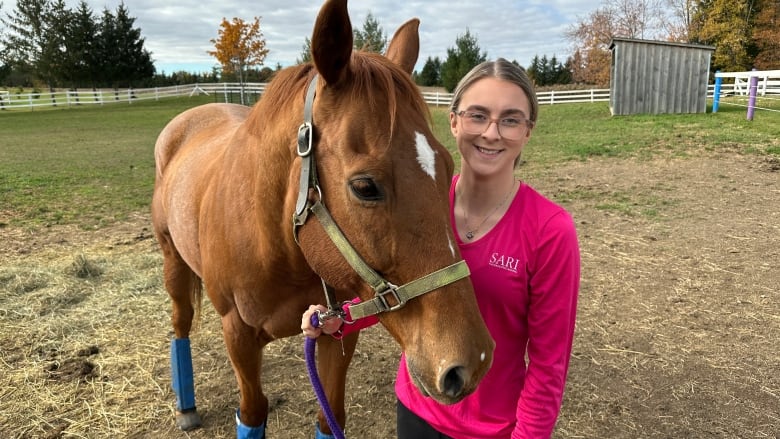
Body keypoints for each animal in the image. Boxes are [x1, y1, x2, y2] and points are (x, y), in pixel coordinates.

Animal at [151, 0, 494, 436]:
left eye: (449, 166)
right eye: (365, 186)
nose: (473, 363)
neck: (275, 241)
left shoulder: (334, 330)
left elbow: (330, 417)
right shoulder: (238, 335)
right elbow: (252, 412)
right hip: (173, 262)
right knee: (180, 323)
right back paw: (186, 407)